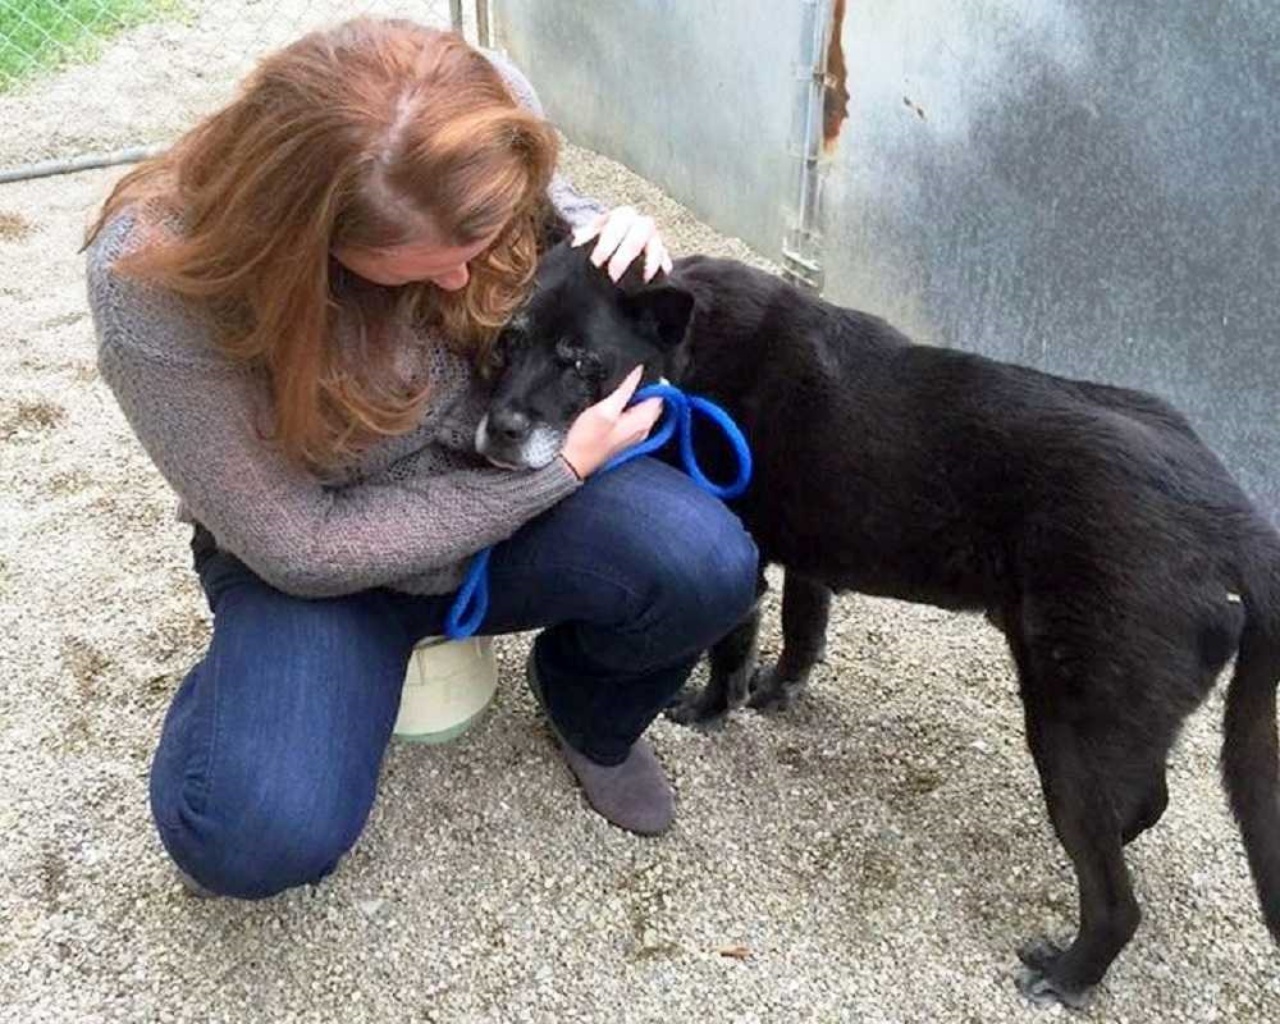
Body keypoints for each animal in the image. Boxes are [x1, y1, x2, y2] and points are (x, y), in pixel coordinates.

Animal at [478, 241, 1280, 1008]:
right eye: (508, 341)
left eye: (581, 362)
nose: (499, 432)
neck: (687, 356)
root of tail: (1231, 519)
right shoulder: (809, 556)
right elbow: (804, 627)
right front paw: (779, 692)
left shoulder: (745, 546)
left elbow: (732, 646)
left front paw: (711, 710)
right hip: (1113, 714)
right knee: (1145, 802)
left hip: (1069, 723)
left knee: (1117, 897)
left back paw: (1071, 972)